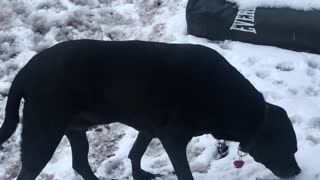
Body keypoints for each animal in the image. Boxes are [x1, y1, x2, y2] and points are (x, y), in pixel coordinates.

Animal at [0, 40, 300, 179]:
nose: (297, 171)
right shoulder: (173, 138)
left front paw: (140, 174)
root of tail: (24, 72)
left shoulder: (150, 128)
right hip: (43, 134)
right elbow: (184, 173)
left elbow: (136, 152)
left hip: (74, 128)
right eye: (287, 148)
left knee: (80, 163)